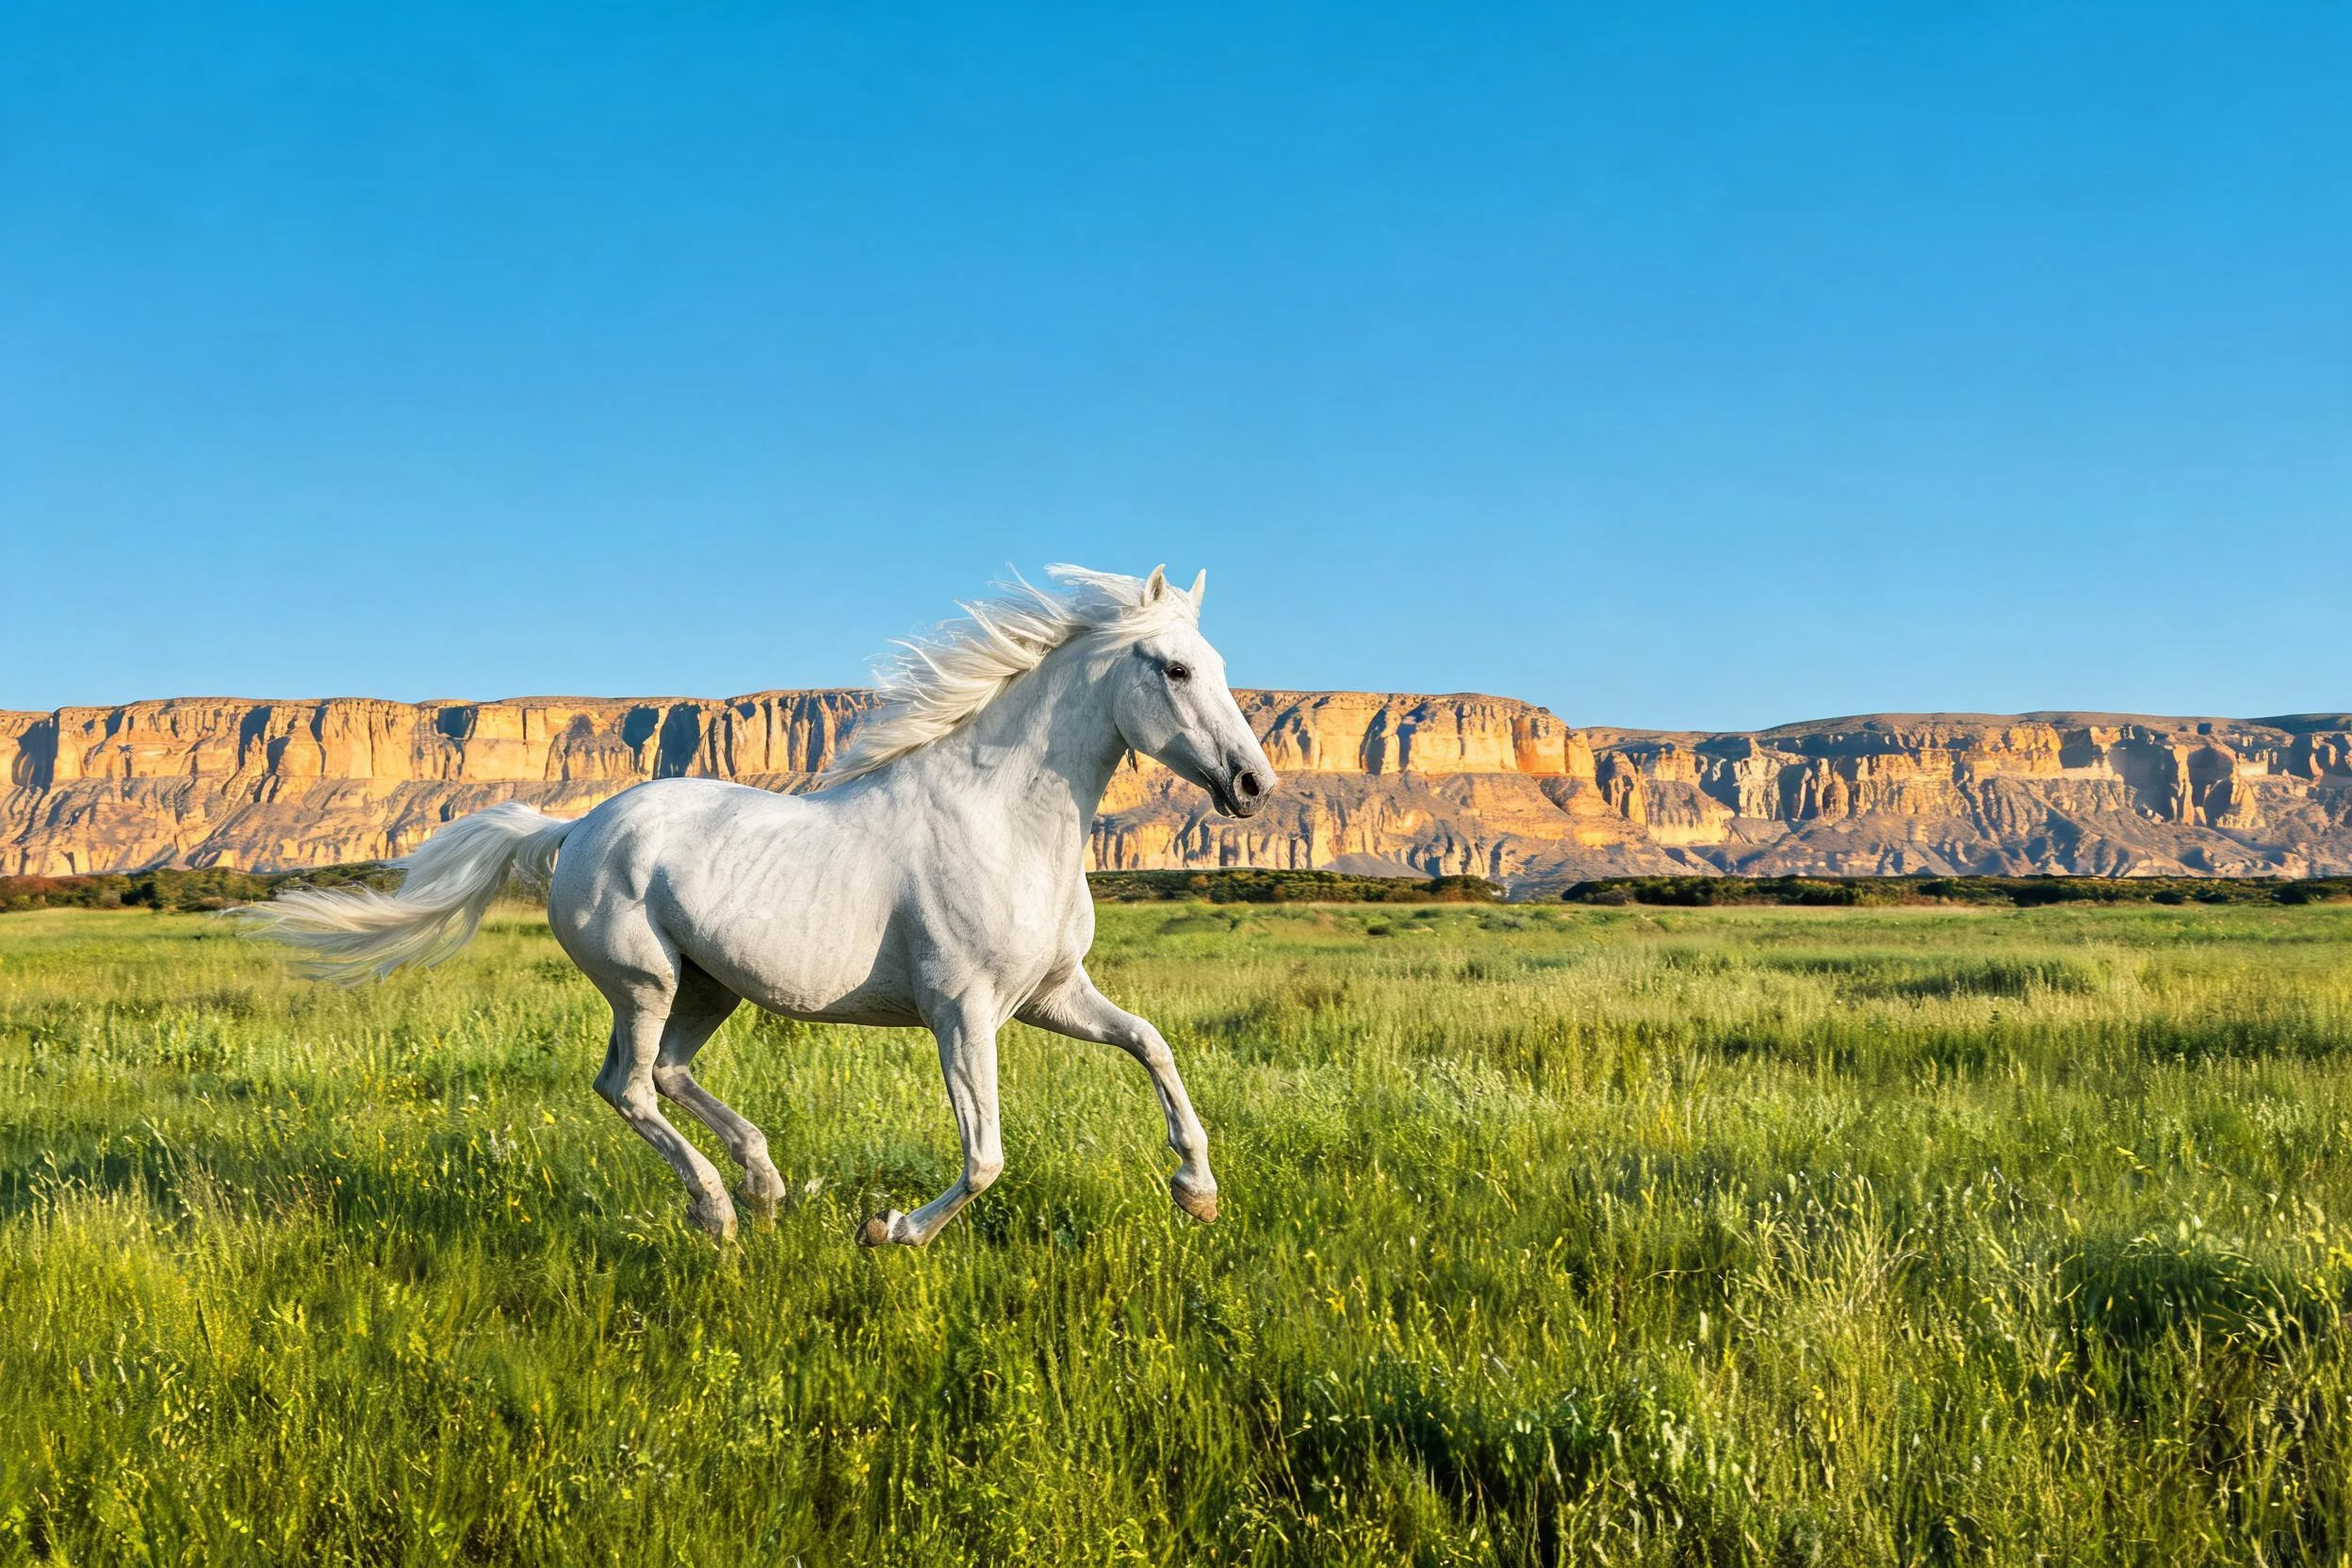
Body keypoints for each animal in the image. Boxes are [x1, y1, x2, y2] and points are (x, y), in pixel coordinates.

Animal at [248, 565, 1277, 1246]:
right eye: (1174, 669)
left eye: (1219, 662)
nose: (1253, 785)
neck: (1003, 819)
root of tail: (574, 829)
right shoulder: (964, 1008)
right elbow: (985, 1153)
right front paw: (890, 1229)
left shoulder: (1053, 994)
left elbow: (1152, 1044)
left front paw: (1197, 1189)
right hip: (643, 981)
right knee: (627, 1086)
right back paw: (718, 1210)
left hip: (710, 987)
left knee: (662, 1077)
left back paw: (765, 1181)